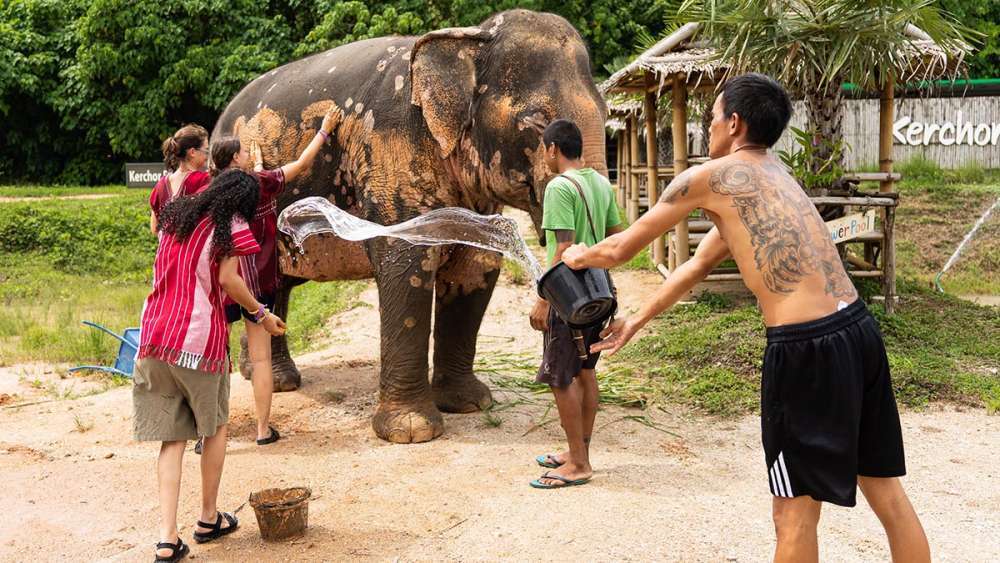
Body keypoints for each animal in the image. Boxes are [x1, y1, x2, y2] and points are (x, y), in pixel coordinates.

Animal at [214, 6, 608, 442]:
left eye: (608, 113)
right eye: (536, 121)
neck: (470, 39)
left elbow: (476, 268)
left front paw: (470, 405)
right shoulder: (392, 152)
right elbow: (407, 268)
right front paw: (412, 432)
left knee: (276, 283)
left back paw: (267, 376)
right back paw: (276, 381)